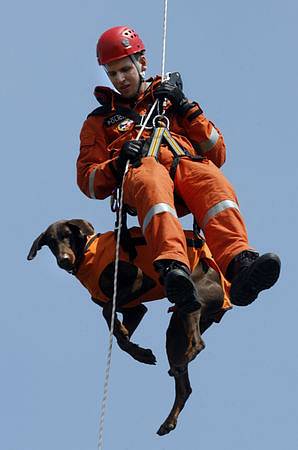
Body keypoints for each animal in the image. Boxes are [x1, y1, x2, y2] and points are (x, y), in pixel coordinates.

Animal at [27, 219, 230, 436]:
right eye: (50, 242)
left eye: (67, 235)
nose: (64, 260)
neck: (87, 253)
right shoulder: (136, 309)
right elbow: (119, 336)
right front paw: (140, 352)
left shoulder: (141, 280)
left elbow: (108, 309)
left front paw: (129, 339)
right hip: (176, 332)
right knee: (184, 387)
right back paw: (170, 417)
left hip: (191, 300)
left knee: (198, 342)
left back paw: (188, 356)